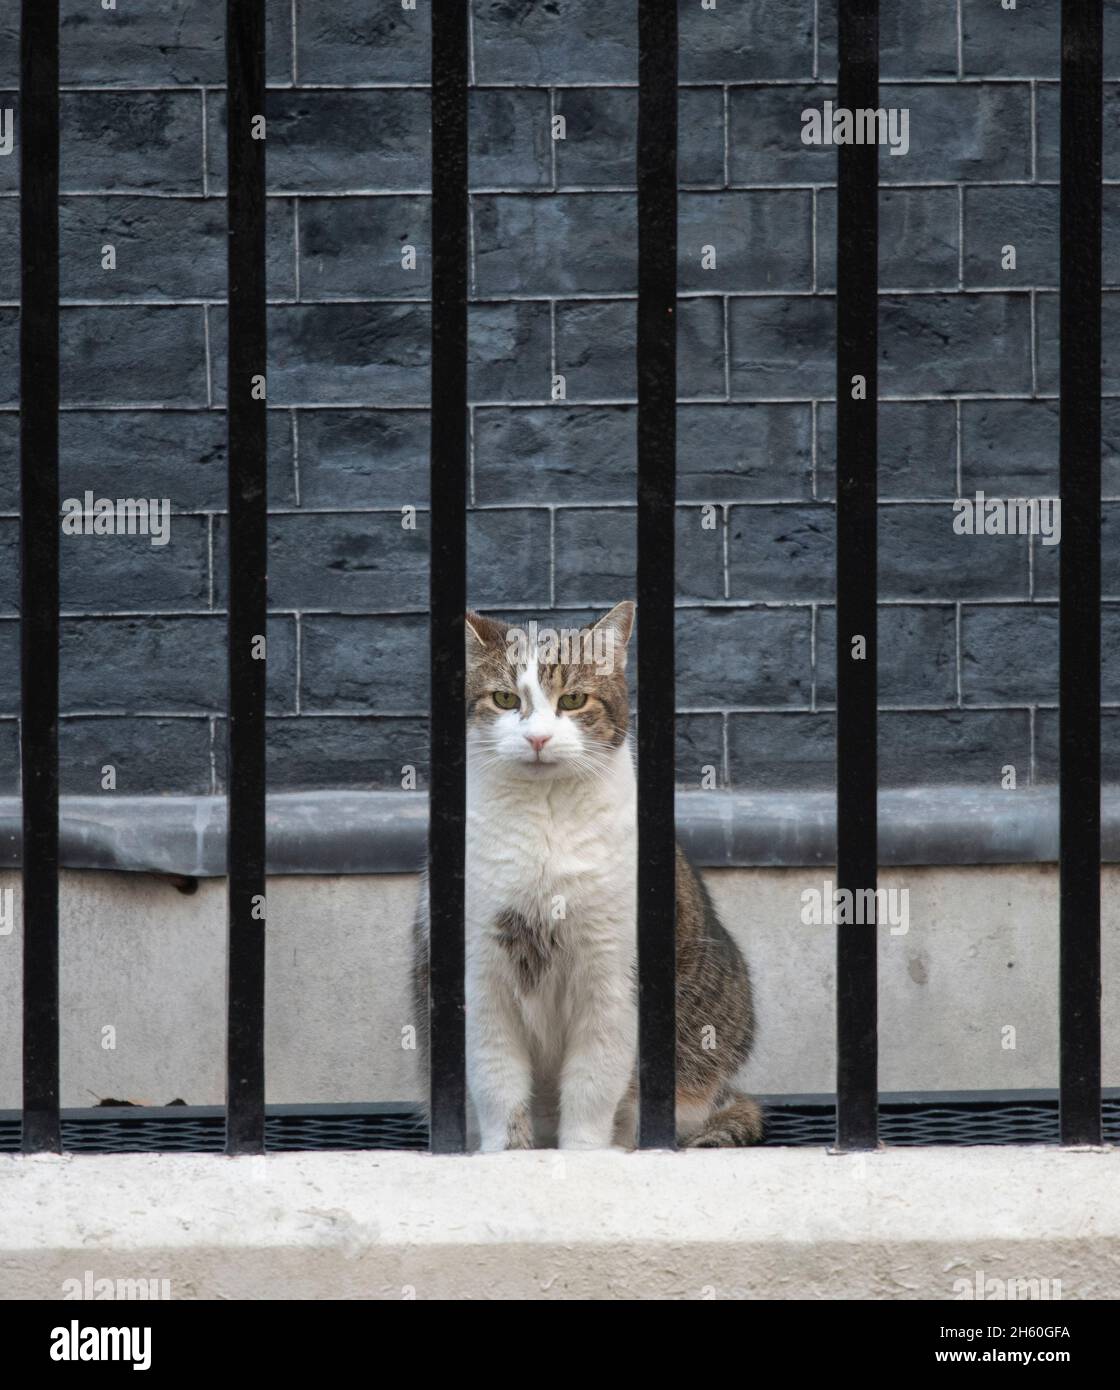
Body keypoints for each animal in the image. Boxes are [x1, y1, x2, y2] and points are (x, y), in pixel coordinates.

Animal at [416, 600, 767, 1150]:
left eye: (574, 699)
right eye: (504, 698)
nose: (538, 737)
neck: (545, 820)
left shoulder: (610, 974)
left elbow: (592, 1082)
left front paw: (583, 1153)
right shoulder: (480, 972)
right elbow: (497, 1081)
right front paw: (505, 1153)